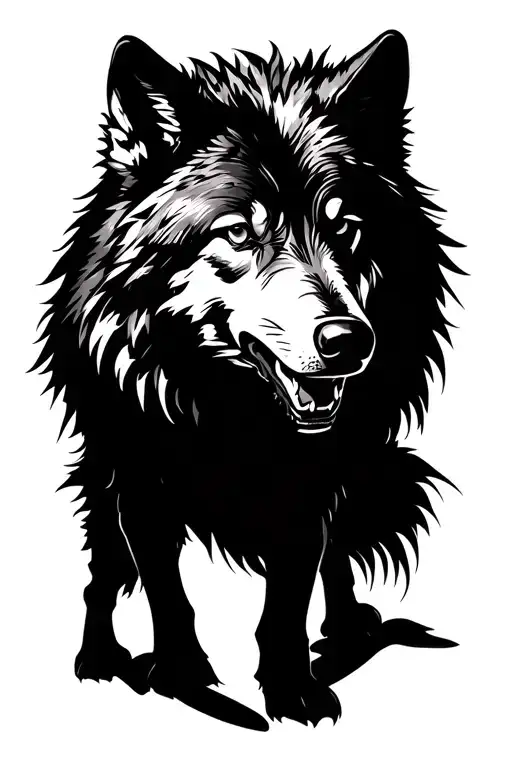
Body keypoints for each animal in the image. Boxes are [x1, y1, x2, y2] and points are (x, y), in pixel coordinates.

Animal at [36, 31, 463, 730]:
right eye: (238, 232)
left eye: (344, 227)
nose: (348, 341)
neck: (233, 416)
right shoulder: (139, 480)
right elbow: (164, 591)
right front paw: (181, 677)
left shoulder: (315, 487)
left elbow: (290, 596)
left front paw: (292, 689)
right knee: (102, 574)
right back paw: (99, 656)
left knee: (337, 565)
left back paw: (347, 629)